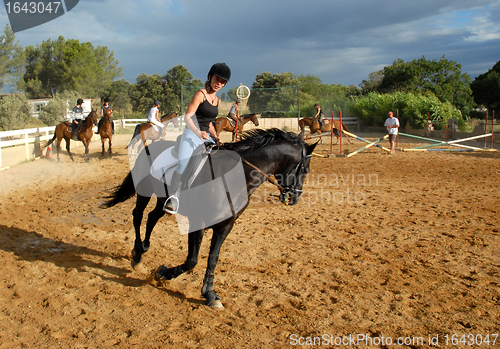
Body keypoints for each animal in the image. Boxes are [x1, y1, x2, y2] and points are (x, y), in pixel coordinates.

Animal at [103, 128, 318, 308]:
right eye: (305, 170)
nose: (294, 198)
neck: (235, 177)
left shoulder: (225, 225)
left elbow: (213, 259)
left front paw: (210, 294)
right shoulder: (198, 223)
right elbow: (192, 261)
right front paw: (164, 272)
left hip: (163, 199)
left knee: (152, 217)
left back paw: (144, 248)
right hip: (144, 191)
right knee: (138, 216)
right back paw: (137, 255)